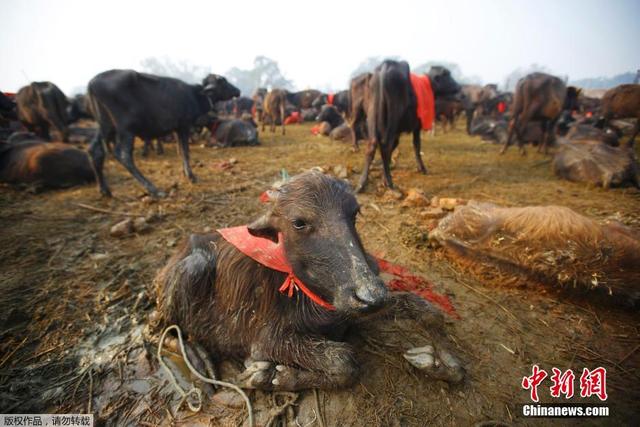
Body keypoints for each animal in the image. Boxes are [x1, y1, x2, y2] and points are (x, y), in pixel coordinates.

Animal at [87, 70, 240, 197]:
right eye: (223, 81)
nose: (238, 91)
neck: (194, 95)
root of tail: (92, 82)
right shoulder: (184, 126)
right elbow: (185, 152)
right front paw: (191, 176)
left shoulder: (178, 129)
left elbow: (180, 151)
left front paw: (185, 173)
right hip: (126, 129)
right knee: (124, 156)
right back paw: (154, 190)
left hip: (104, 126)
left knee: (95, 151)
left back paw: (104, 190)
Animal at [155, 172, 464, 392]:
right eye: (299, 223)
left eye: (354, 213)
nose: (372, 294)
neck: (309, 291)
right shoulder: (266, 340)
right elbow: (344, 360)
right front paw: (272, 376)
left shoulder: (350, 311)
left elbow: (427, 310)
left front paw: (443, 363)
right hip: (191, 271)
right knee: (157, 329)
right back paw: (196, 356)